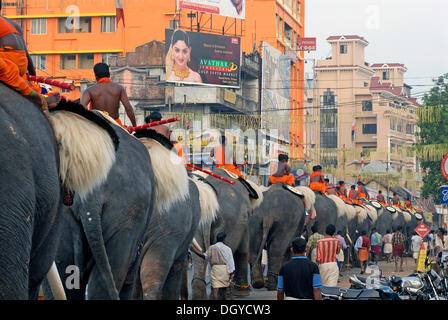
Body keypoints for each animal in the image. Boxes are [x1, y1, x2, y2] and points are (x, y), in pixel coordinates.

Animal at [190, 169, 262, 298]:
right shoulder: (243, 220)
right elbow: (243, 248)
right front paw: (242, 292)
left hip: (198, 223)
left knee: (199, 257)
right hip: (230, 221)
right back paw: (223, 295)